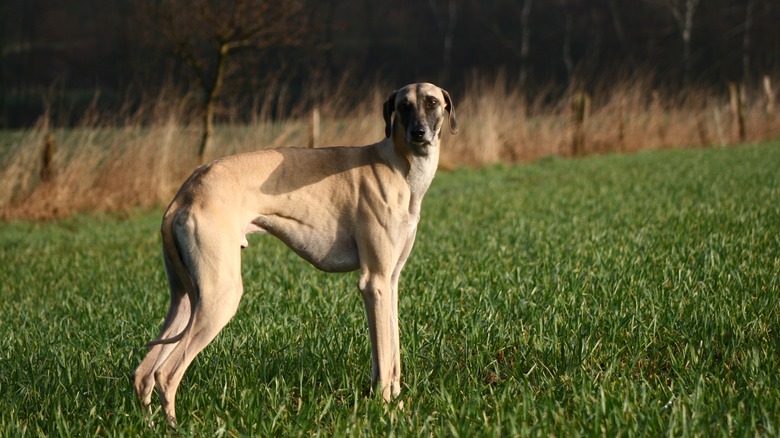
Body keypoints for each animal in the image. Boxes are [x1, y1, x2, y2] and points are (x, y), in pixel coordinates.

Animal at [131, 82, 454, 424]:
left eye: (432, 102)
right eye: (404, 106)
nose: (419, 133)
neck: (398, 166)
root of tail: (186, 192)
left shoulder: (389, 282)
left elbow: (392, 353)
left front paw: (397, 404)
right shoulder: (373, 282)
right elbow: (382, 355)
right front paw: (383, 409)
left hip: (185, 297)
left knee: (144, 373)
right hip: (221, 295)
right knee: (166, 373)